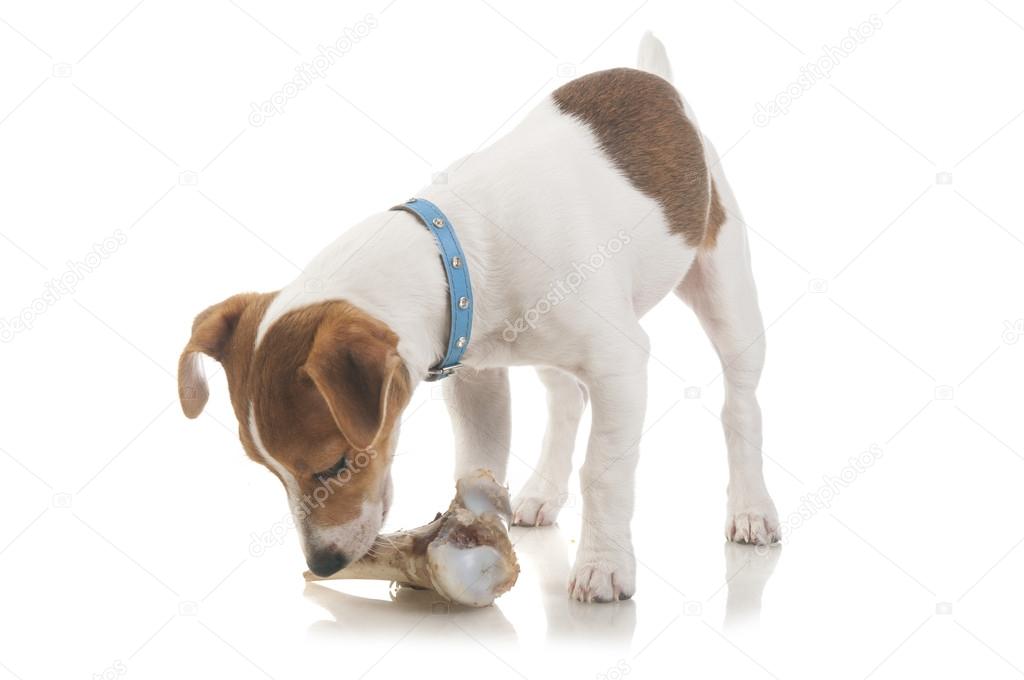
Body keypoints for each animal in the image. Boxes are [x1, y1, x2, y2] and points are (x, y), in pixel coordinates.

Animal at [180, 34, 778, 602]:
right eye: (268, 470)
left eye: (335, 466)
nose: (324, 565)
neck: (461, 253)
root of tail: (656, 81)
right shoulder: (477, 382)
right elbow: (475, 467)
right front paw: (467, 546)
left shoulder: (620, 365)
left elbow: (604, 473)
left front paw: (604, 567)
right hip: (552, 355)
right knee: (565, 401)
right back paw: (543, 492)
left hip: (727, 290)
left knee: (741, 405)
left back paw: (751, 508)